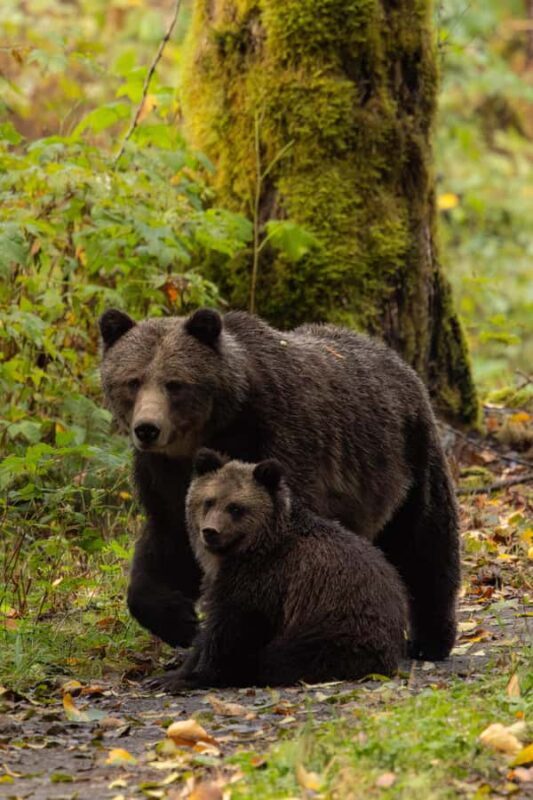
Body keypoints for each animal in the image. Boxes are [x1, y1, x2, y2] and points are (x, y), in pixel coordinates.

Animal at [99, 306, 460, 661]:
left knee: (425, 541)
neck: (211, 431)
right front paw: (179, 620)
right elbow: (168, 542)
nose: (147, 428)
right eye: (133, 381)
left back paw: (430, 640)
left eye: (174, 383)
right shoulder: (164, 475)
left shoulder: (280, 436)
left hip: (408, 456)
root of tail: (395, 358)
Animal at [148, 448, 408, 690]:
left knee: (281, 657)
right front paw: (169, 675)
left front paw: (191, 678)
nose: (210, 531)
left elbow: (232, 634)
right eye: (209, 501)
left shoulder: (264, 583)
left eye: (235, 508)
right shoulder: (221, 581)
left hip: (336, 628)